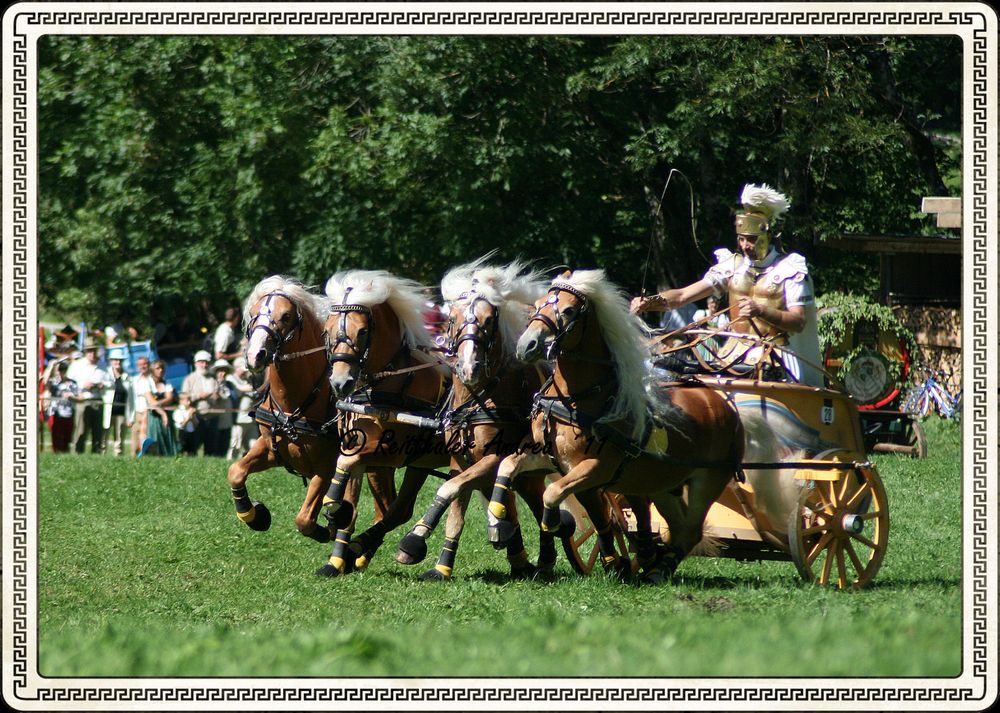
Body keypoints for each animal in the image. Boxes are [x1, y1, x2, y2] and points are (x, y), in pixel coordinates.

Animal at [227, 276, 398, 548]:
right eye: (253, 313)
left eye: (286, 316)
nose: (256, 355)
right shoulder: (271, 449)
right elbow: (235, 471)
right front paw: (254, 515)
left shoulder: (326, 467)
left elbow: (305, 519)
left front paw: (327, 528)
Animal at [316, 270, 454, 576]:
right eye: (327, 331)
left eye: (362, 331)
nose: (340, 382)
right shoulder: (362, 450)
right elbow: (350, 493)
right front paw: (336, 559)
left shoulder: (388, 454)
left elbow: (344, 467)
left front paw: (333, 509)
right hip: (421, 461)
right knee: (400, 509)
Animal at [390, 256, 580, 580]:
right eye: (452, 319)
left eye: (489, 319)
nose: (469, 368)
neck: (478, 398)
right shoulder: (460, 460)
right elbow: (456, 509)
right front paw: (441, 566)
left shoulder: (494, 456)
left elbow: (449, 488)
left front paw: (414, 539)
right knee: (534, 498)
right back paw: (539, 557)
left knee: (538, 499)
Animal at [480, 270, 748, 580]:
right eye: (536, 305)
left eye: (568, 310)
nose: (527, 346)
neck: (576, 400)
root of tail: (725, 405)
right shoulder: (551, 458)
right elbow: (507, 465)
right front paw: (496, 521)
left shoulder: (596, 468)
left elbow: (553, 492)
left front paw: (557, 524)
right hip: (660, 483)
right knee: (677, 528)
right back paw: (652, 562)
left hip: (707, 480)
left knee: (691, 531)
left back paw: (657, 569)